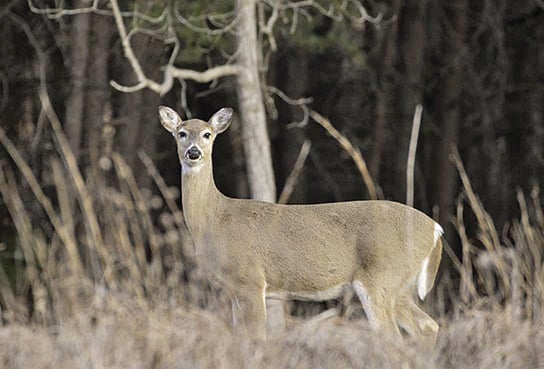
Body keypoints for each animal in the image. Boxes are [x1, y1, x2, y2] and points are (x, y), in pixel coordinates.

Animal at [157, 104, 442, 344]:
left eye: (207, 134)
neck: (214, 220)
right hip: (400, 285)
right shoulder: (233, 286)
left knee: (393, 335)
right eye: (182, 133)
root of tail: (435, 230)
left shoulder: (250, 278)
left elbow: (257, 336)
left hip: (381, 276)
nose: (194, 152)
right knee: (428, 326)